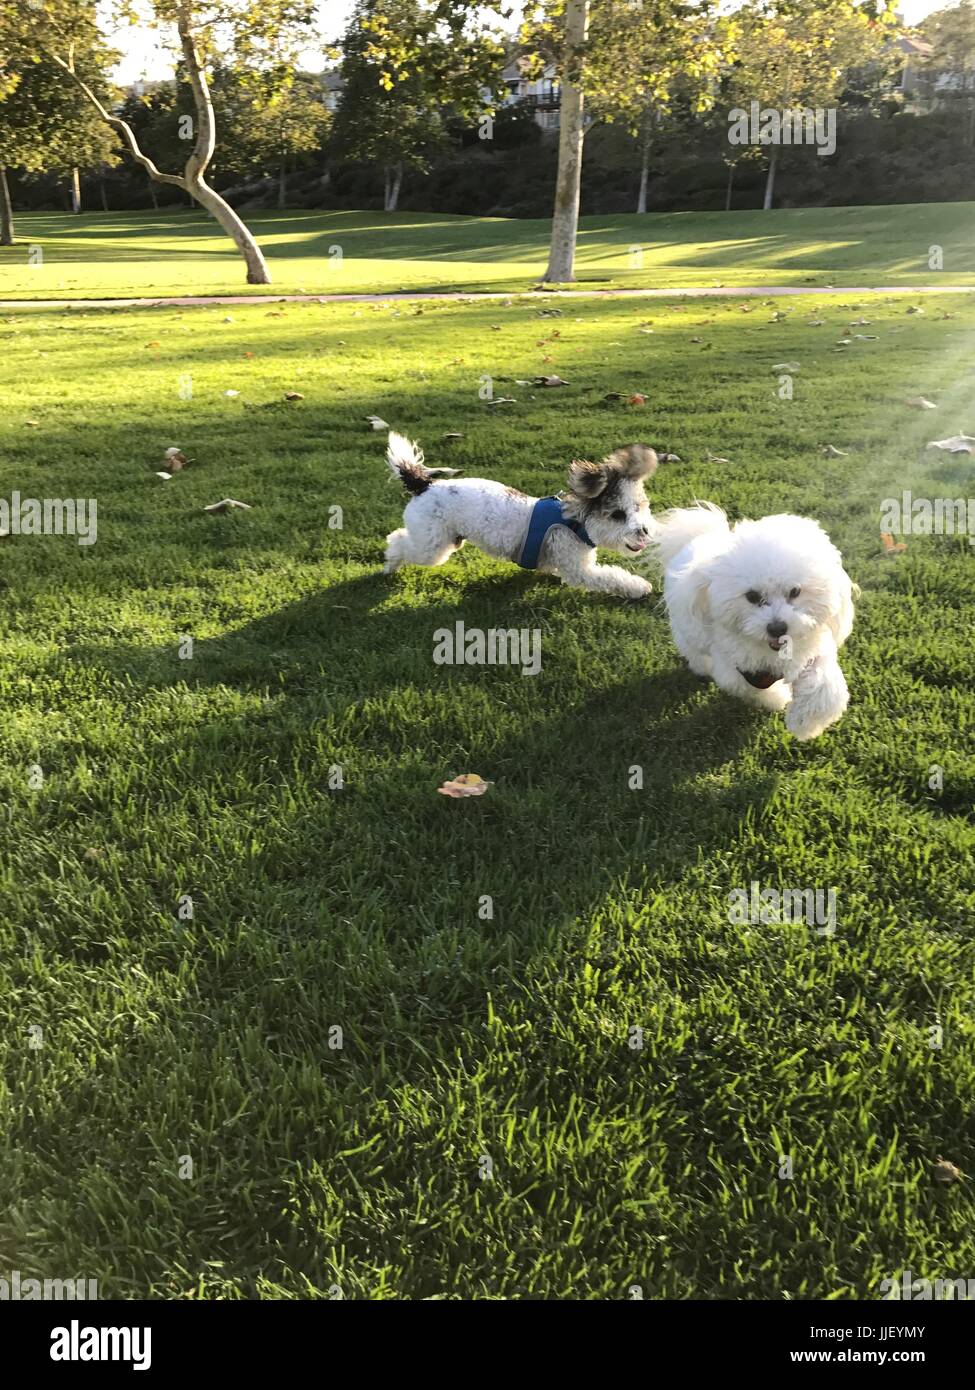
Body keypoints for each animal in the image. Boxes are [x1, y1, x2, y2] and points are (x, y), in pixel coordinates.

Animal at [383, 430, 659, 600]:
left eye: (640, 507)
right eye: (617, 515)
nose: (644, 531)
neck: (575, 524)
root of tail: (424, 484)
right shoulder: (577, 567)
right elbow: (610, 577)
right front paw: (639, 587)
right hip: (432, 545)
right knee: (397, 540)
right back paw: (389, 565)